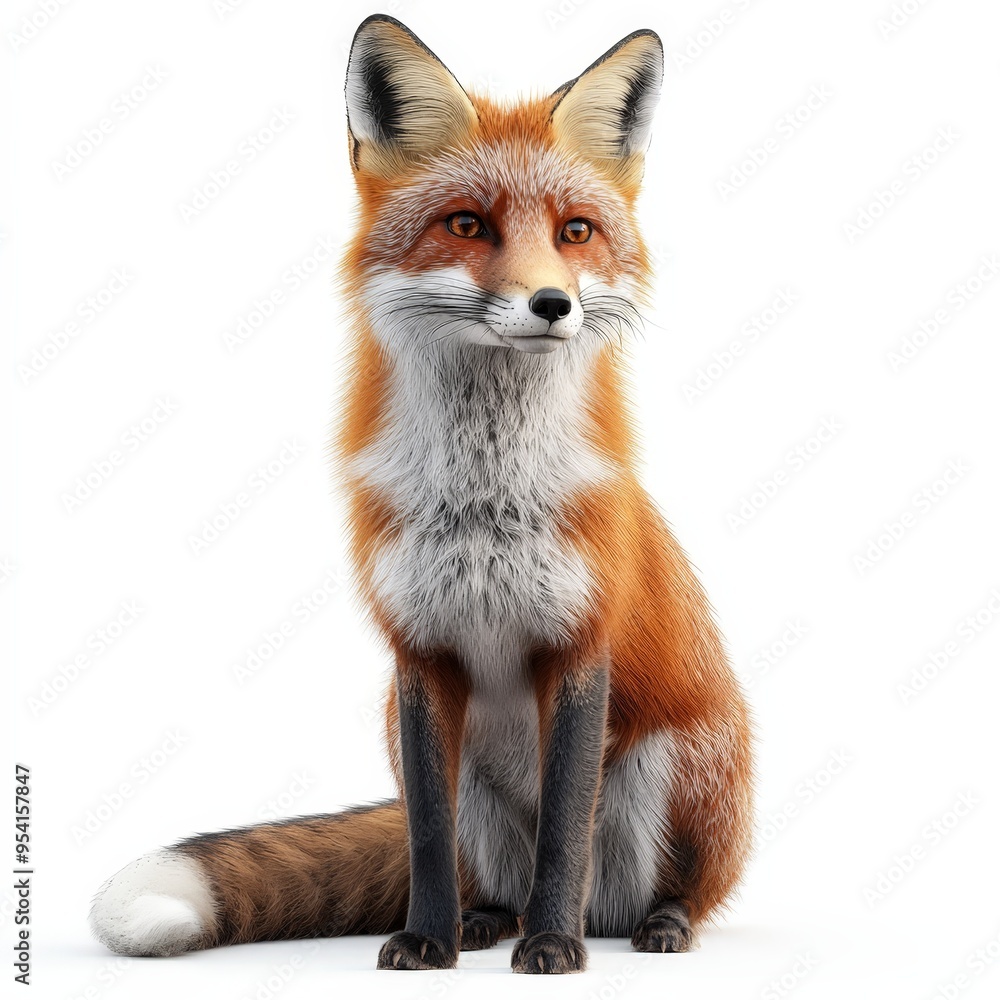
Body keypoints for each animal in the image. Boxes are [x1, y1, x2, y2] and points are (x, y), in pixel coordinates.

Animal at [89, 15, 754, 975]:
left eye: (576, 230)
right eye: (468, 224)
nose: (551, 303)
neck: (483, 504)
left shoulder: (579, 647)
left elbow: (565, 830)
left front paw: (553, 947)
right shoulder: (420, 654)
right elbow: (429, 837)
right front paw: (428, 939)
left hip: (676, 769)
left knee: (677, 888)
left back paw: (649, 923)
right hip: (453, 768)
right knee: (487, 872)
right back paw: (485, 921)